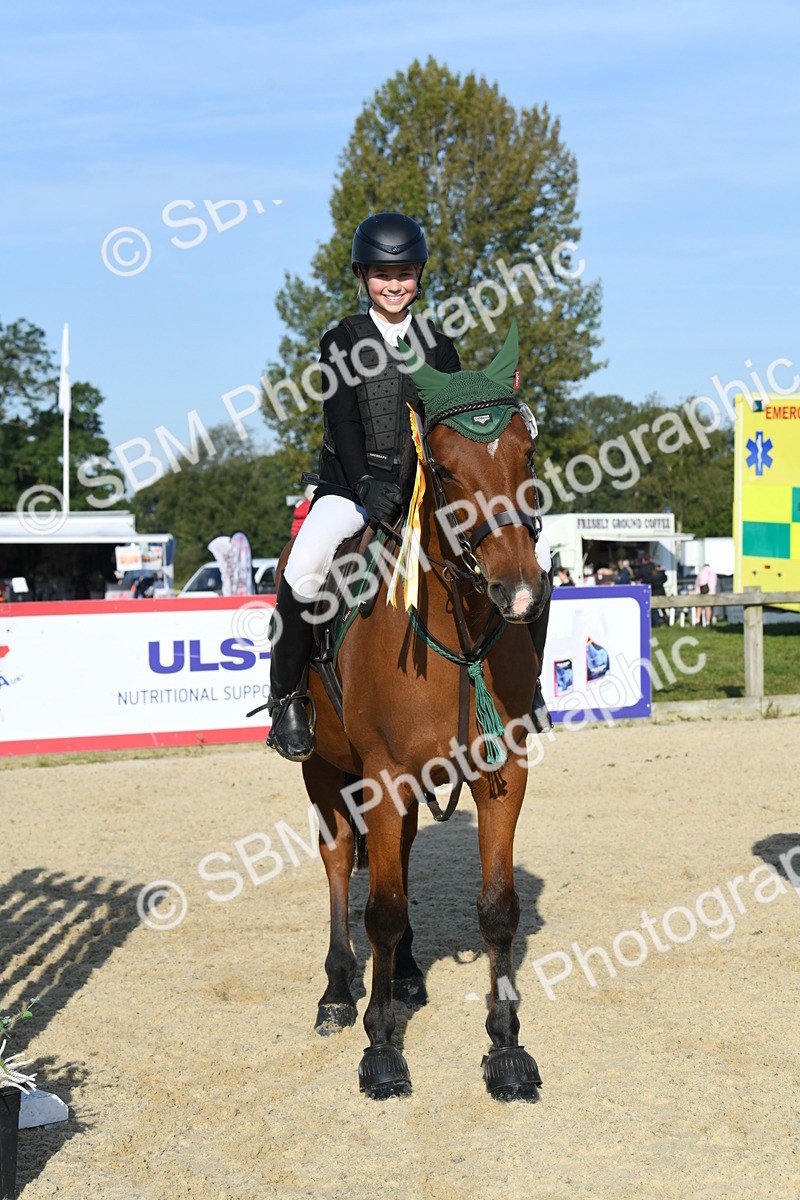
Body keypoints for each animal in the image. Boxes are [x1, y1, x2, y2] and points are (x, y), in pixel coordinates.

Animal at [274, 320, 551, 1101]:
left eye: (526, 454)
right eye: (446, 470)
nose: (521, 590)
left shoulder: (500, 773)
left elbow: (497, 910)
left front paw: (506, 1046)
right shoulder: (383, 774)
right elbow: (382, 910)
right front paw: (381, 1047)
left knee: (394, 861)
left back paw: (403, 978)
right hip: (325, 770)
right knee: (341, 863)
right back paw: (340, 992)